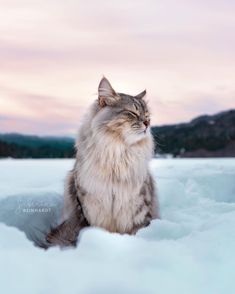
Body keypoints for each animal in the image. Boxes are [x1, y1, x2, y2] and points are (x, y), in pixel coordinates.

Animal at [46, 77, 160, 247]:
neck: (117, 153)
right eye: (132, 113)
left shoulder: (140, 204)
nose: (147, 123)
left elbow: (137, 228)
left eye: (147, 115)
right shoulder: (89, 204)